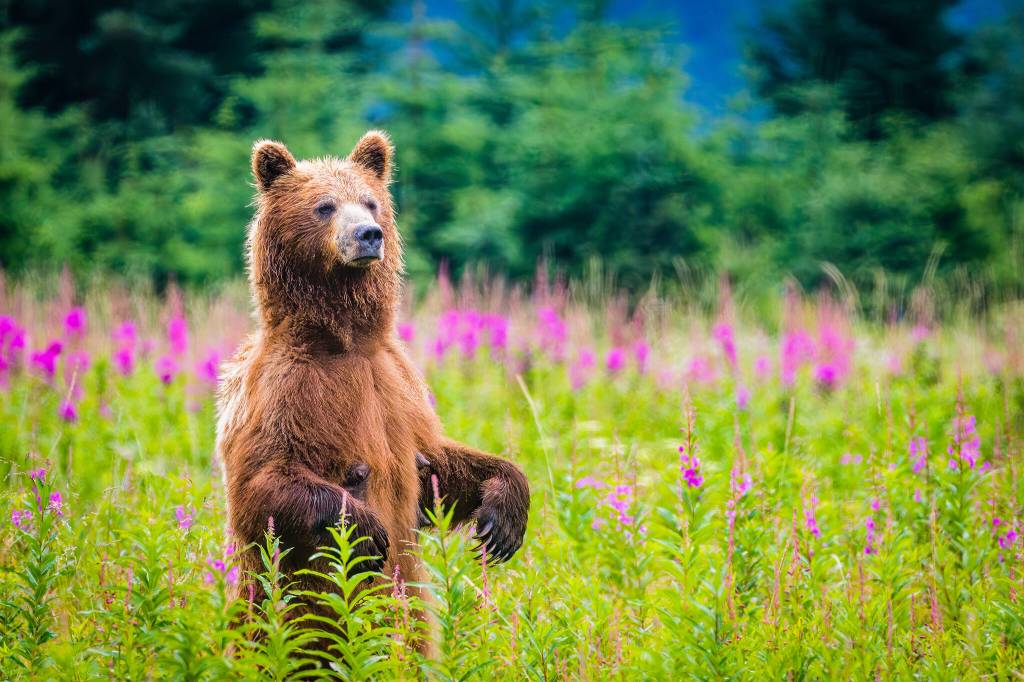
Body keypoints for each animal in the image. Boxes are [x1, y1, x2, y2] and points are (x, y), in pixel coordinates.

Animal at [215, 131, 530, 646]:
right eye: (324, 205)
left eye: (371, 202)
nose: (368, 234)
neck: (342, 342)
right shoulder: (283, 389)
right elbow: (262, 483)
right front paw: (365, 526)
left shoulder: (396, 384)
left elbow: (437, 464)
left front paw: (501, 521)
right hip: (298, 608)